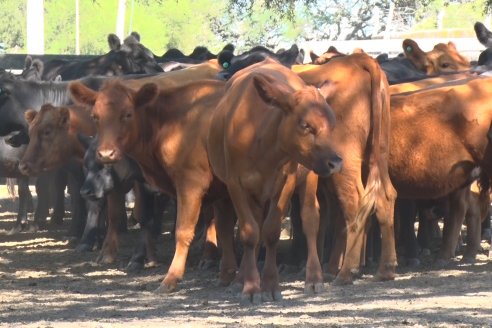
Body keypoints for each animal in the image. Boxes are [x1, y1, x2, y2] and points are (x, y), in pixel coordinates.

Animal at [208, 59, 342, 302]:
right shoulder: (236, 185)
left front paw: (270, 285)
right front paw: (250, 286)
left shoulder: (287, 181)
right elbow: (249, 232)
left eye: (333, 124)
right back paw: (240, 278)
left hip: (309, 176)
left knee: (310, 219)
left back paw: (313, 278)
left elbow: (271, 231)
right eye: (306, 125)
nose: (336, 162)